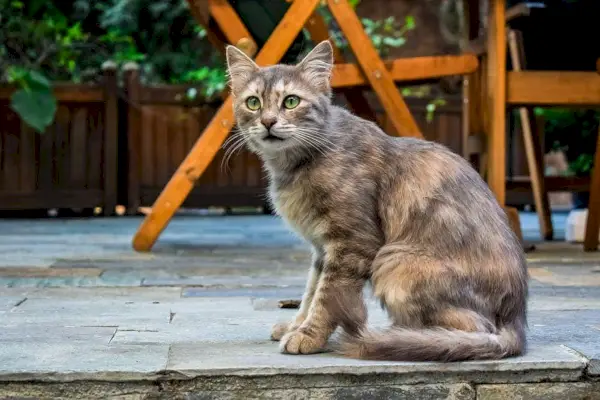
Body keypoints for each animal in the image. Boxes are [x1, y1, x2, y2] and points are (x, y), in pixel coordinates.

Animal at [224, 40, 524, 362]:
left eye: (291, 102)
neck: (297, 165)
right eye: (253, 103)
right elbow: (310, 291)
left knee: (475, 329)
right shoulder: (322, 248)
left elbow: (327, 297)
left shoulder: (352, 243)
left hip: (394, 262)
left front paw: (308, 335)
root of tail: (516, 319)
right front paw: (296, 325)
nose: (268, 121)